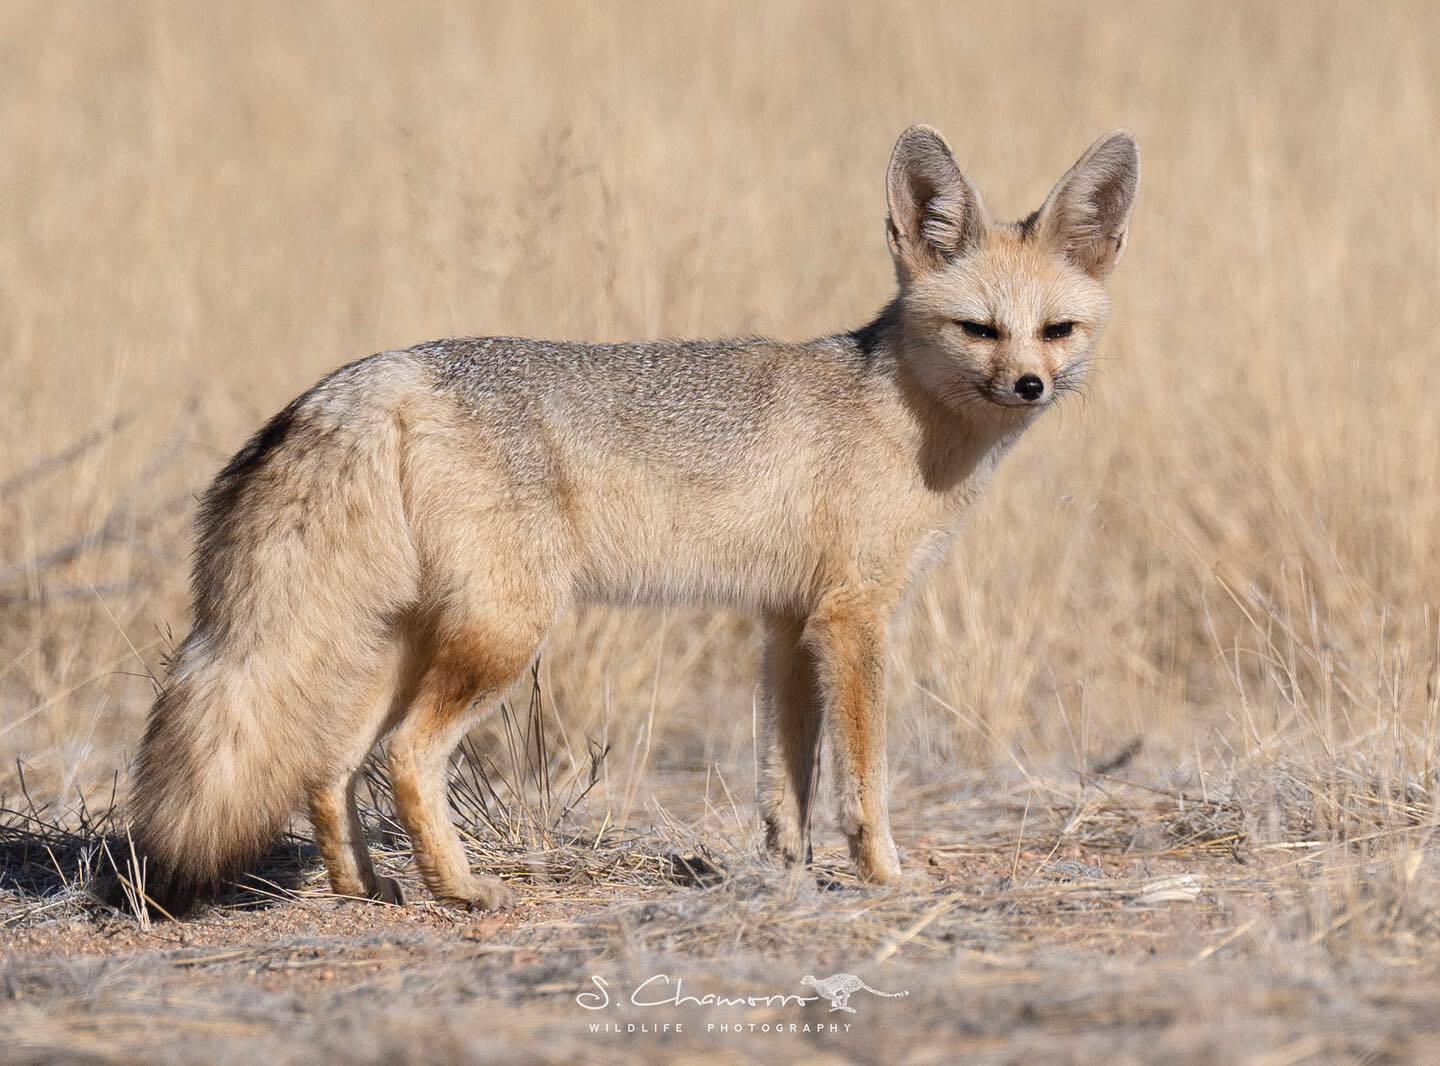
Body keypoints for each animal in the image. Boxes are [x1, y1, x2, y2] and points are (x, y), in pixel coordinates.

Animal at [126, 123, 1134, 910]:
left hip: (411, 641)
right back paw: (461, 888)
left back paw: (366, 887)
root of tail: (386, 369)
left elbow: (787, 779)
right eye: (979, 330)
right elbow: (864, 779)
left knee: (331, 766)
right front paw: (883, 876)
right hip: (504, 635)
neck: (899, 415)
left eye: (1057, 331)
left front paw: (785, 872)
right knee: (409, 755)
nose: (1029, 385)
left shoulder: (785, 622)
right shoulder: (854, 618)